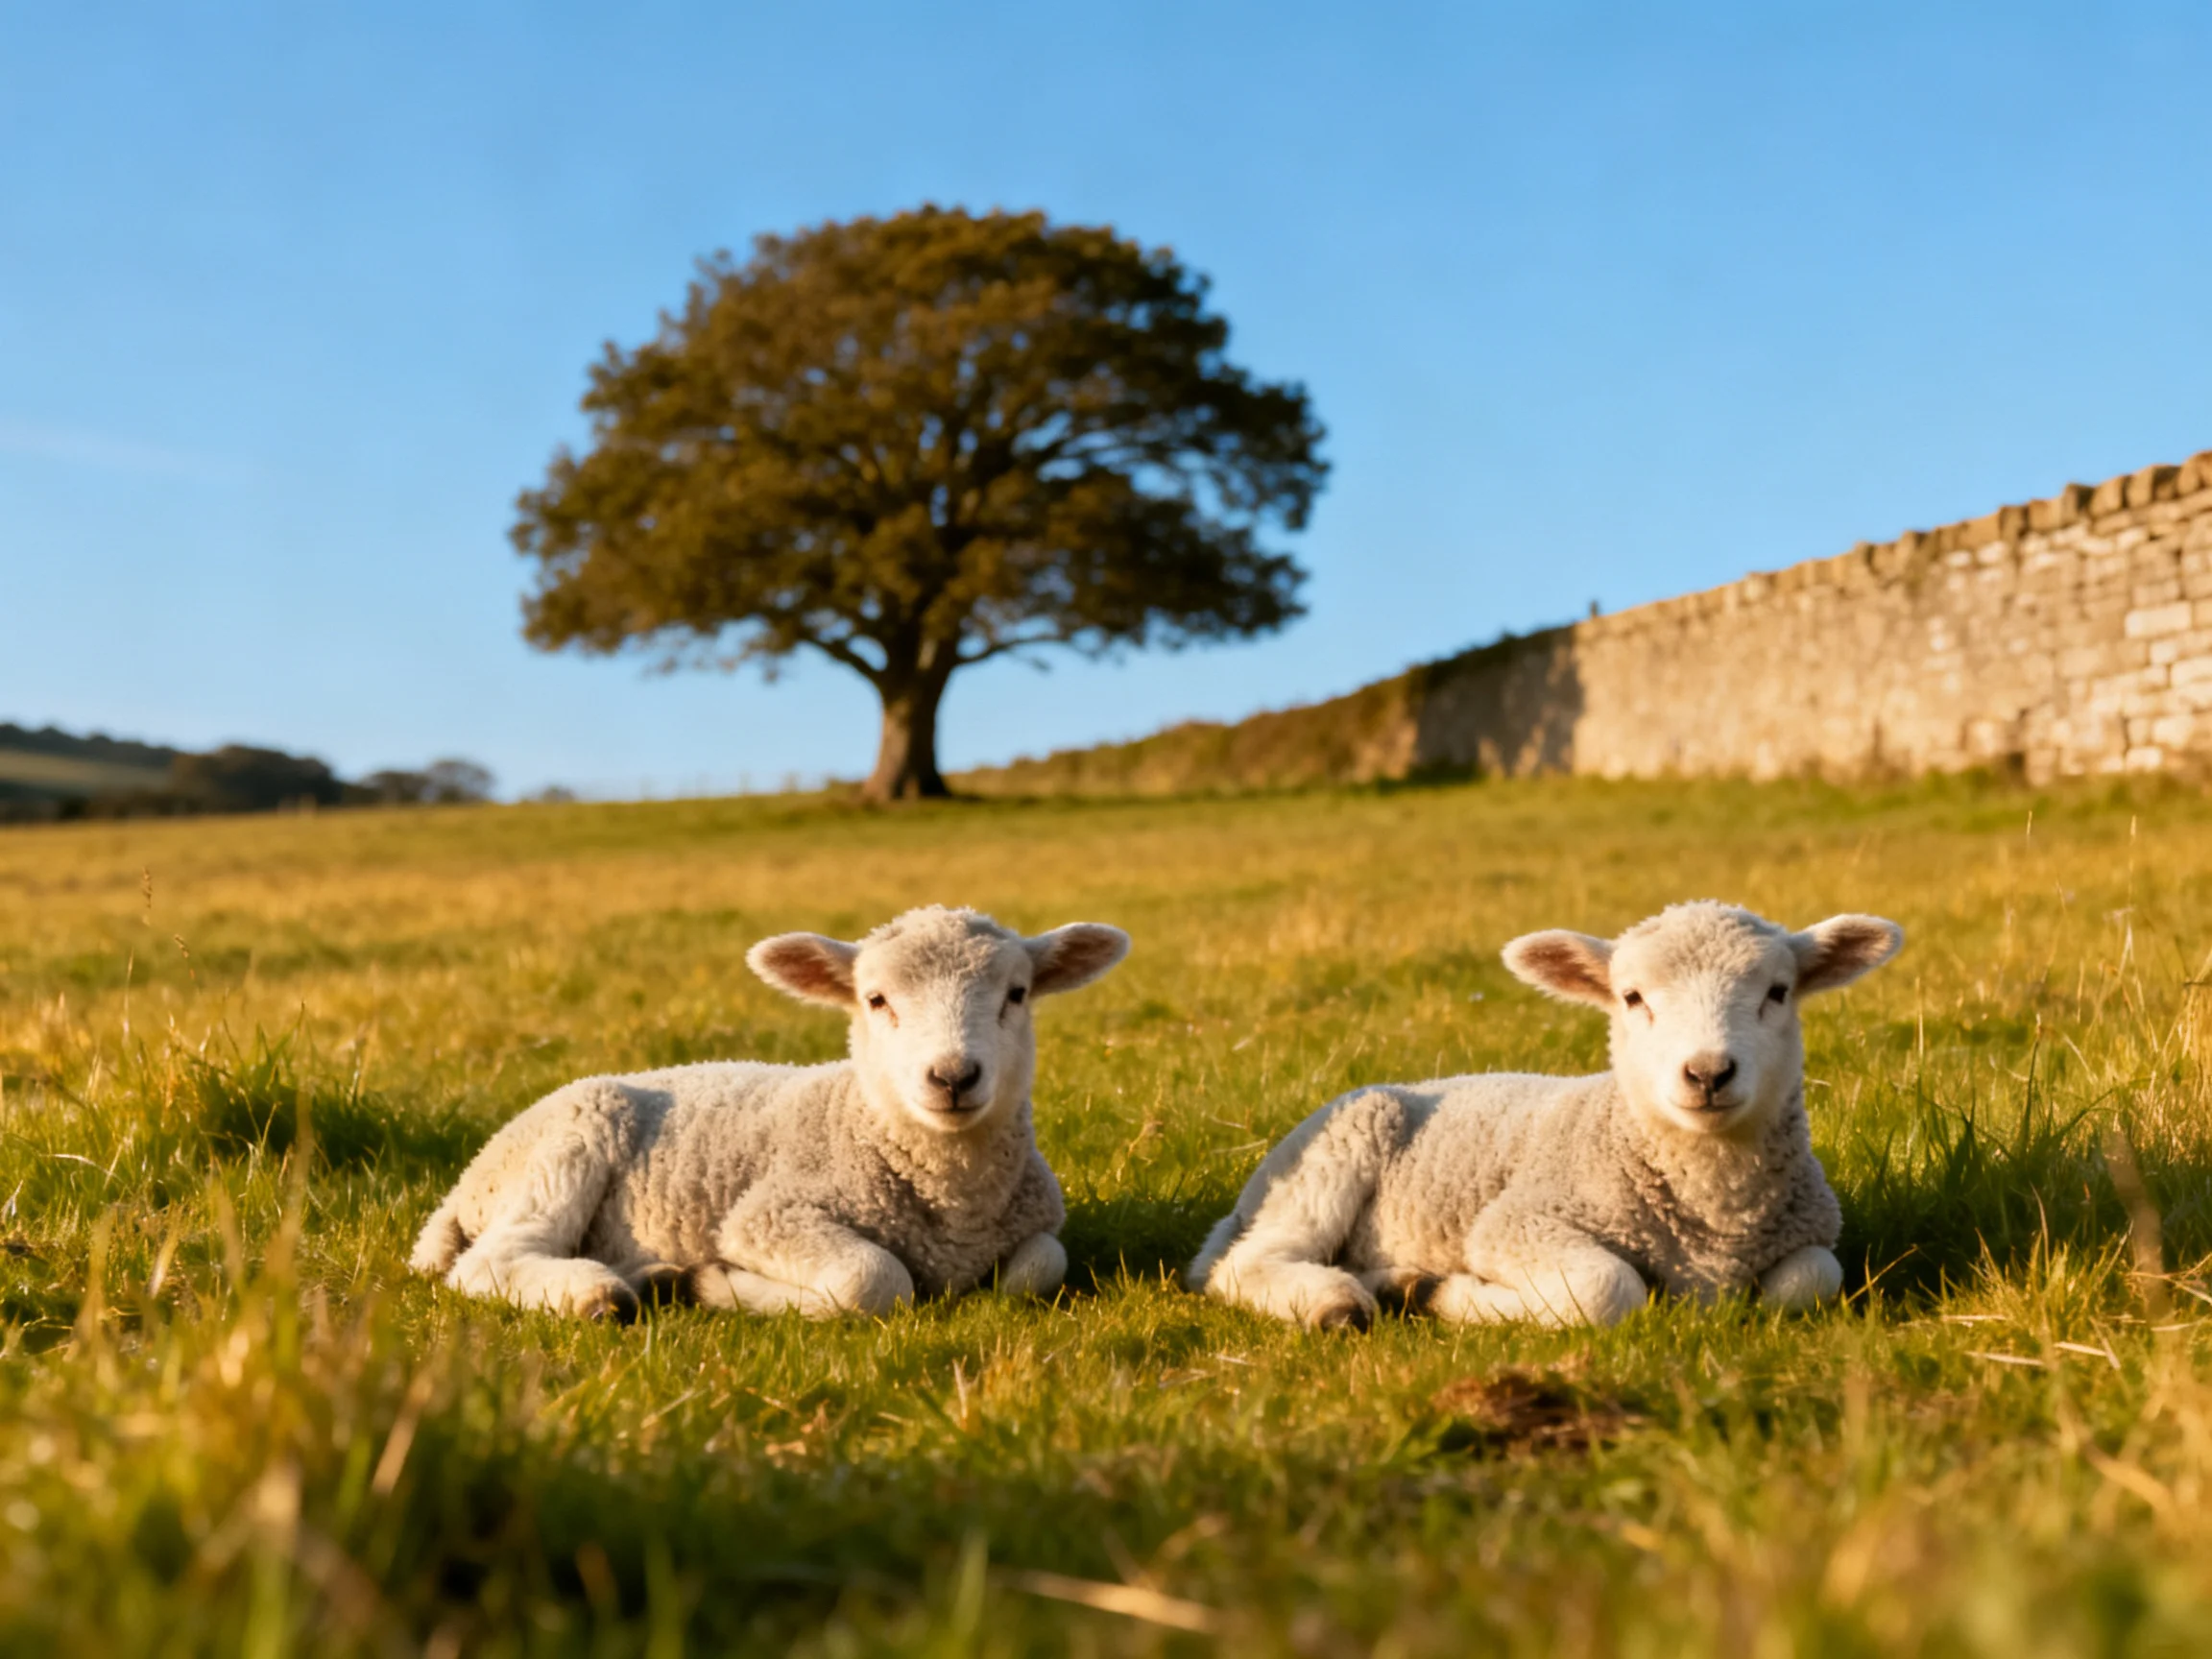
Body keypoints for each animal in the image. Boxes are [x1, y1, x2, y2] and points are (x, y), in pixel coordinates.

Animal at [410, 906, 1129, 1321]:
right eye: (875, 1000)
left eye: (1017, 994)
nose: (953, 1076)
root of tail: (466, 1183)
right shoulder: (766, 1216)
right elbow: (873, 1280)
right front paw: (725, 1286)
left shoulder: (1036, 1222)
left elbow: (1038, 1270)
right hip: (571, 1139)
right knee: (488, 1262)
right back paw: (598, 1295)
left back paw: (652, 1277)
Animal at [1188, 902, 1902, 1330]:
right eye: (1632, 997)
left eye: (1778, 993)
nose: (1707, 1073)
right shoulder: (1515, 1223)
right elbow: (1608, 1289)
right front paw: (1461, 1298)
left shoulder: (1811, 1233)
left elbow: (1811, 1281)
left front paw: (1434, 1291)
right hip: (1335, 1152)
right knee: (1245, 1265)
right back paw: (1335, 1301)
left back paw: (1399, 1281)